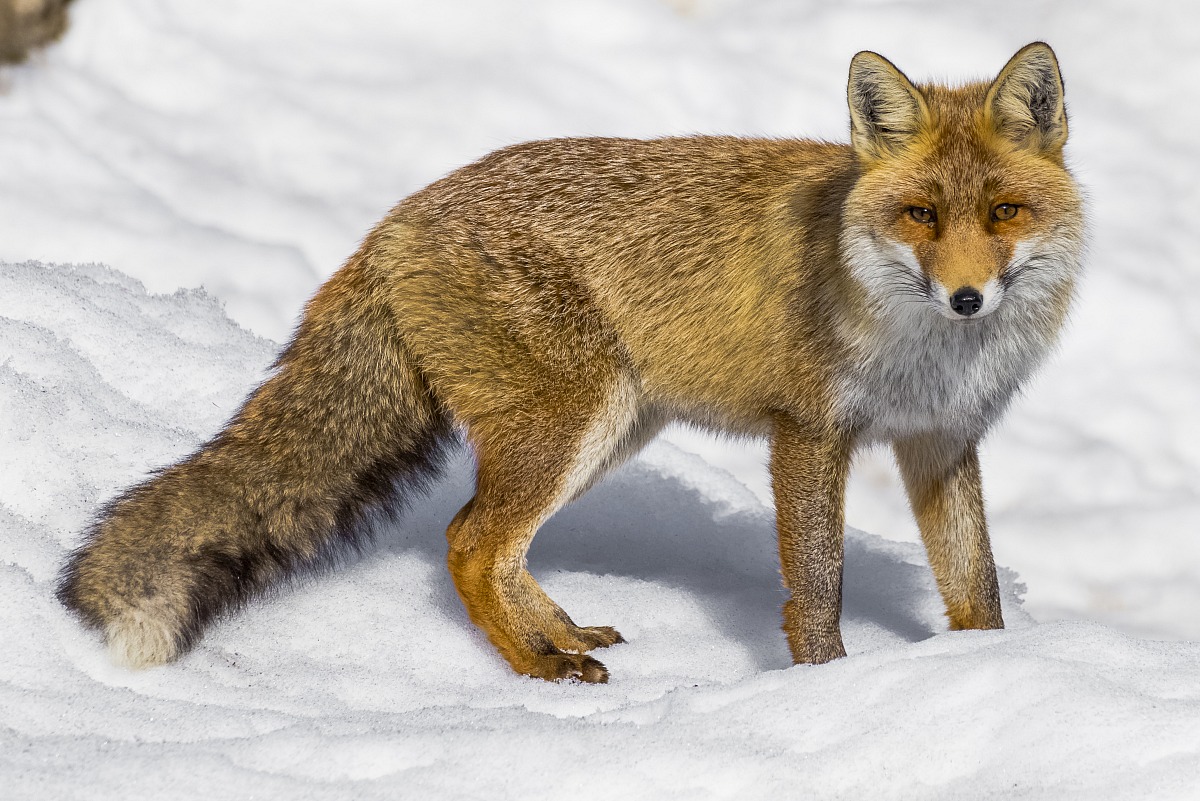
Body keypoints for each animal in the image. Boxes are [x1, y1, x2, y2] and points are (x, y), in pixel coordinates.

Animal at [58, 42, 1084, 683]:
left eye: (1004, 213)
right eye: (919, 215)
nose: (967, 298)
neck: (929, 354)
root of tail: (395, 220)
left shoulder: (940, 443)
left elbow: (976, 585)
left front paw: (996, 669)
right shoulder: (809, 432)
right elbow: (818, 588)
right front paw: (824, 687)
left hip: (612, 427)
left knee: (488, 540)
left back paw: (553, 634)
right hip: (571, 421)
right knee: (470, 541)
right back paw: (532, 668)